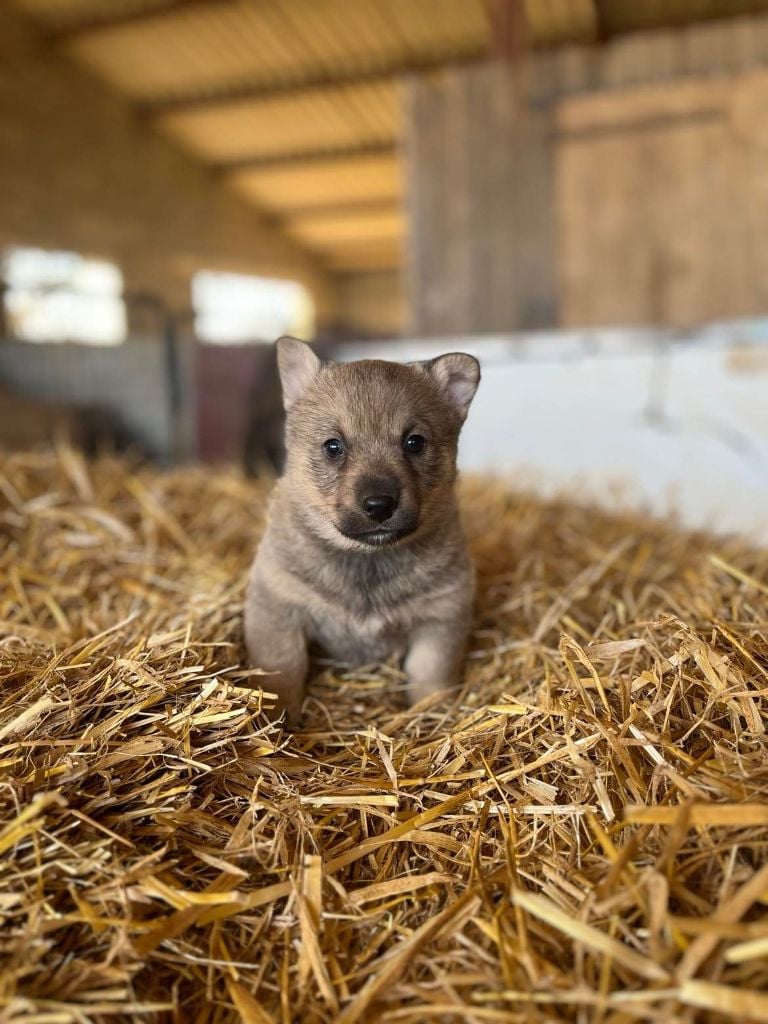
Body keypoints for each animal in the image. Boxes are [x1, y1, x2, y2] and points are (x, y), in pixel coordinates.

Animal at [244, 339, 481, 724]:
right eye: (333, 446)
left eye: (415, 442)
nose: (379, 504)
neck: (367, 561)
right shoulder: (278, 607)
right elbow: (282, 669)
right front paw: (279, 720)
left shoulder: (442, 614)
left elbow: (429, 673)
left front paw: (432, 713)